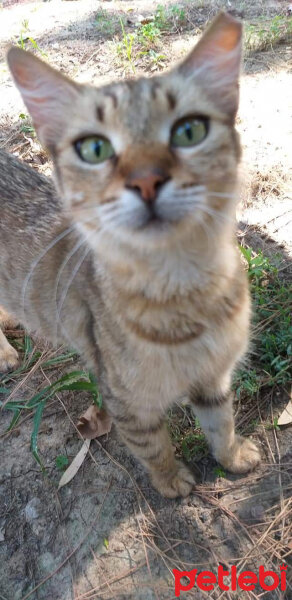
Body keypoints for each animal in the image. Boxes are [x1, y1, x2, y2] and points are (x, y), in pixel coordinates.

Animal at [0, 12, 260, 496]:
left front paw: (233, 457)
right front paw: (171, 481)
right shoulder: (125, 401)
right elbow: (152, 447)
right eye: (94, 148)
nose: (146, 180)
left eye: (189, 131)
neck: (185, 293)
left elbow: (222, 423)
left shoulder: (214, 377)